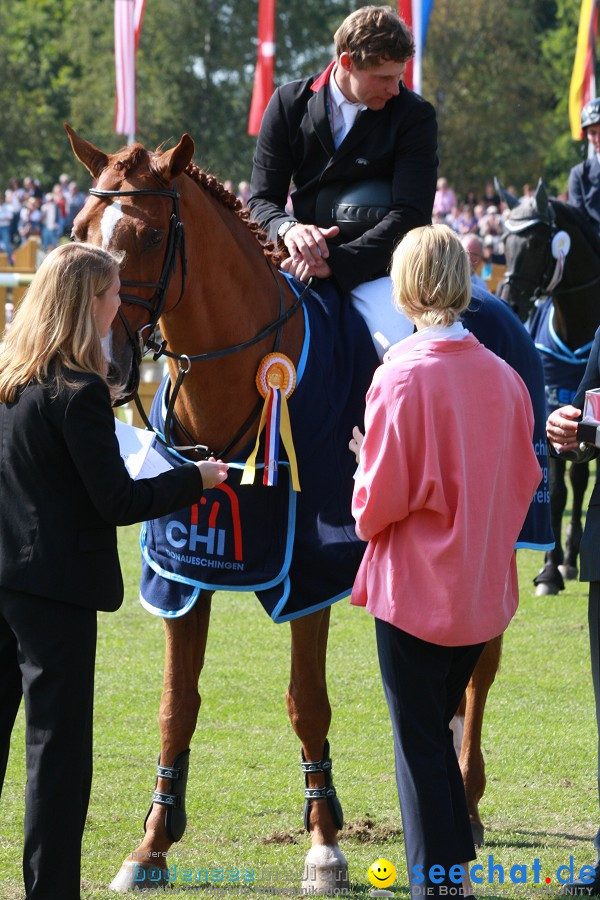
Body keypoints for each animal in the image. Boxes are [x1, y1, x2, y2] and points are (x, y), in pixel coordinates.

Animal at [65, 125, 524, 884]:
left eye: (152, 234)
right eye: (78, 231)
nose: (100, 363)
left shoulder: (309, 569)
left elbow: (307, 703)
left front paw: (325, 842)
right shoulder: (186, 574)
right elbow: (175, 706)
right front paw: (153, 842)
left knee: (480, 666)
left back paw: (469, 797)